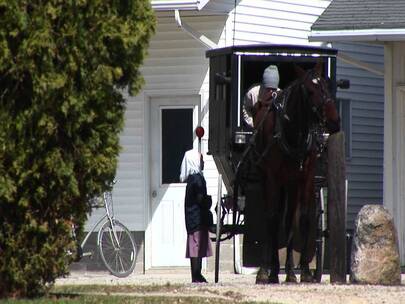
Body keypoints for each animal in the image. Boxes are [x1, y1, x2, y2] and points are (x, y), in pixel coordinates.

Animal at [249, 63, 338, 284]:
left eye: (326, 86)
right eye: (310, 91)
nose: (335, 121)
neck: (292, 133)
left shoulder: (305, 178)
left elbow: (302, 219)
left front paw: (302, 270)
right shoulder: (272, 178)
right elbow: (272, 218)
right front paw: (268, 271)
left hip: (289, 184)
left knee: (288, 219)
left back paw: (285, 270)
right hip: (268, 180)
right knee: (270, 217)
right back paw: (268, 269)